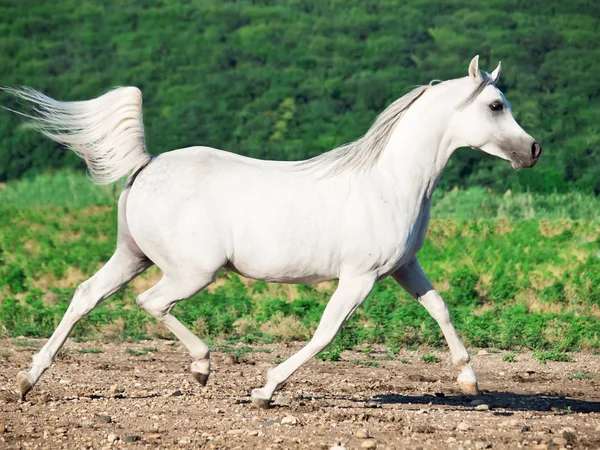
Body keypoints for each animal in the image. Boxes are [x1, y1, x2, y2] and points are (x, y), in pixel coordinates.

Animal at [3, 54, 540, 406]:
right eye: (496, 106)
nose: (532, 150)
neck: (391, 182)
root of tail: (146, 164)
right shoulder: (360, 277)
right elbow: (327, 332)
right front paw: (265, 389)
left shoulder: (404, 267)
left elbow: (440, 308)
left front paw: (469, 381)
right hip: (191, 272)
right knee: (150, 302)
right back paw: (202, 368)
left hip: (132, 256)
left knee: (85, 295)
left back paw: (29, 380)